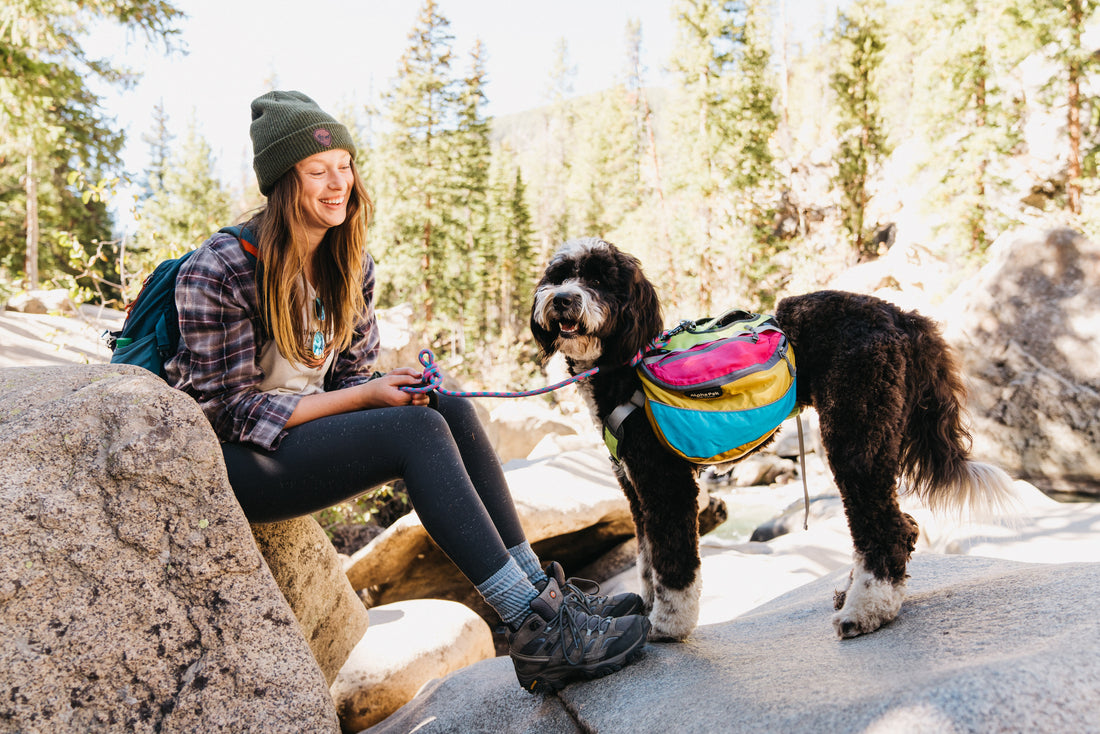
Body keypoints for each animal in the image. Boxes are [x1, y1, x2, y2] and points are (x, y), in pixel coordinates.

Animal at [530, 238, 1012, 638]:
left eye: (599, 280)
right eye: (558, 276)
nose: (563, 299)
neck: (621, 365)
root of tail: (902, 315)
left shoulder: (667, 482)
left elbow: (673, 561)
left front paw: (667, 625)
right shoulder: (634, 488)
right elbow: (647, 559)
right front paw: (647, 607)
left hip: (855, 432)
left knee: (885, 527)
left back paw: (864, 612)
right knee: (902, 525)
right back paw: (856, 595)